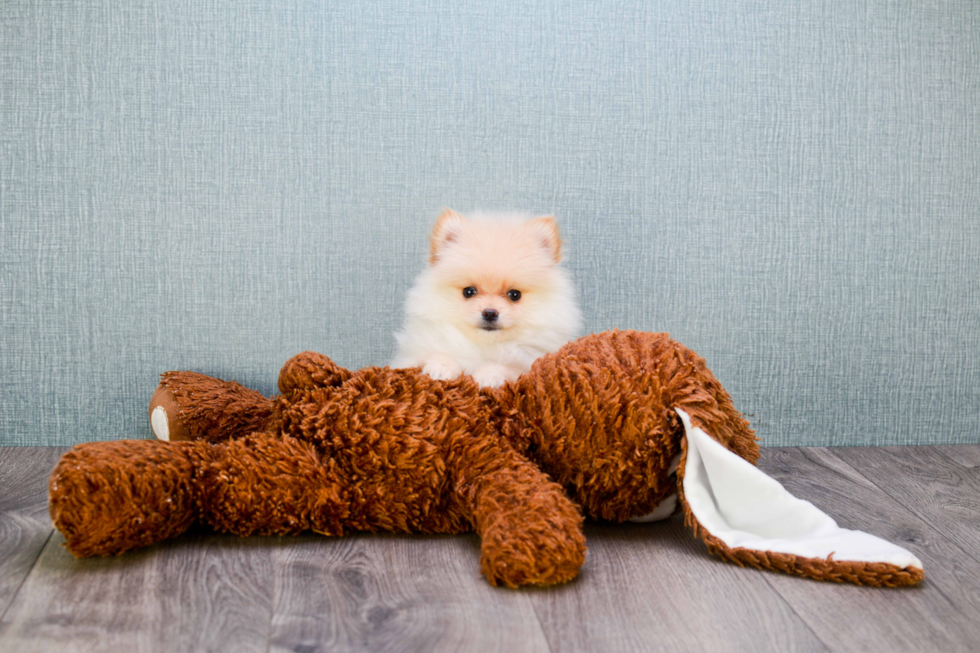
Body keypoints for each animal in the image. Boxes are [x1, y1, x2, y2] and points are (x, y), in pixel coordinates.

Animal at [392, 208, 580, 388]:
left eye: (514, 295)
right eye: (469, 291)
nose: (490, 313)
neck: (484, 346)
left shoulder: (529, 363)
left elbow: (508, 368)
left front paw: (489, 377)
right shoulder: (409, 356)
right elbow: (430, 355)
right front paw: (440, 367)